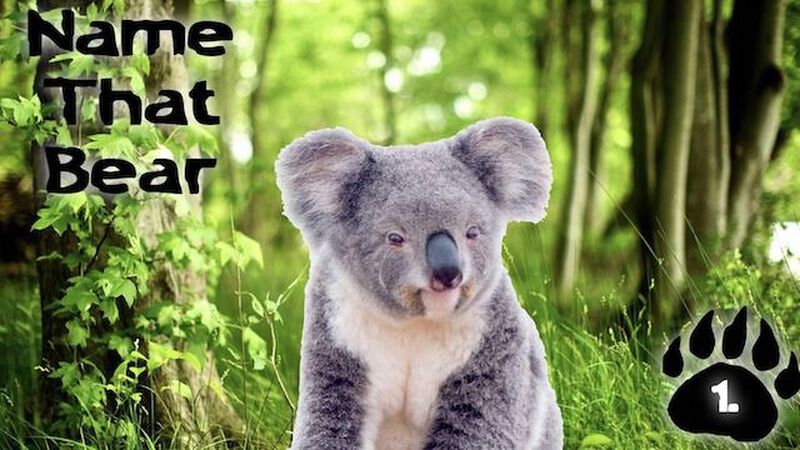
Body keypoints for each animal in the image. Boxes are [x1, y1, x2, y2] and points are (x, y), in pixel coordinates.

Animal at [276, 117, 563, 449]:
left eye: (472, 232)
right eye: (395, 238)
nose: (448, 273)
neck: (415, 323)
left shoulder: (491, 348)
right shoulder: (337, 336)